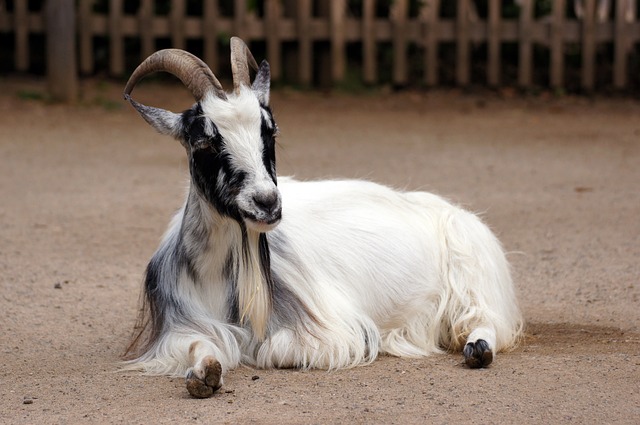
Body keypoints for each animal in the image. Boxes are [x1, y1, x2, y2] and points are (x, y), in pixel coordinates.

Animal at [122, 37, 524, 398]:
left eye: (270, 130)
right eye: (204, 141)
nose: (267, 203)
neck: (216, 275)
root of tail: (444, 207)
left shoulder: (331, 329)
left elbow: (269, 350)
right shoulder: (177, 328)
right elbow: (198, 347)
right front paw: (204, 373)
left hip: (468, 268)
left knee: (484, 318)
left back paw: (478, 348)